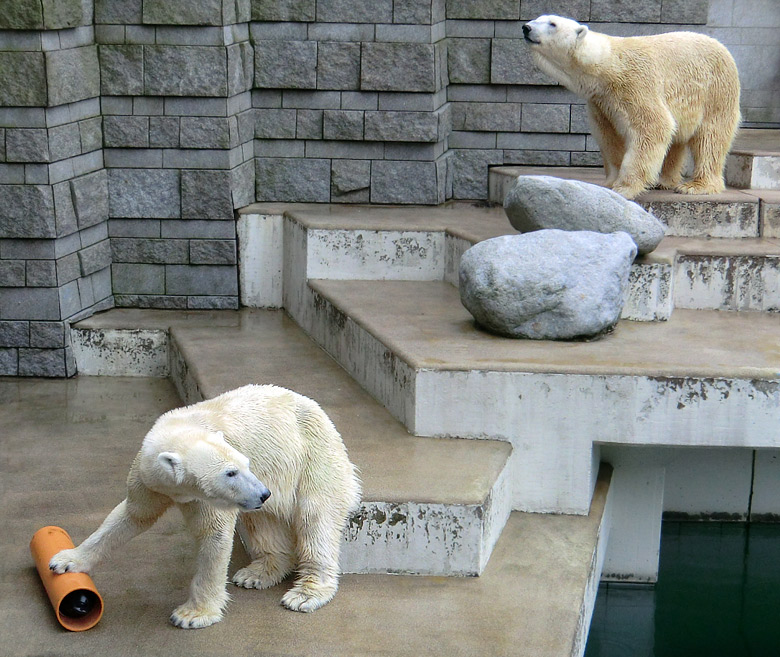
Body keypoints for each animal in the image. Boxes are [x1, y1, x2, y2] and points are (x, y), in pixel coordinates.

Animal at [50, 382, 362, 628]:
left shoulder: (208, 495)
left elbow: (213, 535)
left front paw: (192, 614)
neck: (182, 427)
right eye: (231, 472)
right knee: (261, 521)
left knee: (315, 518)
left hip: (314, 456)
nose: (264, 493)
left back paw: (306, 592)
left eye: (244, 465)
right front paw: (65, 560)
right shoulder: (148, 478)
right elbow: (132, 515)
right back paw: (257, 573)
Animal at [520, 15, 740, 199]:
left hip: (716, 91)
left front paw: (624, 188)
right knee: (677, 139)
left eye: (552, 24)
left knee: (710, 137)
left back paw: (696, 186)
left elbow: (653, 127)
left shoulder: (634, 85)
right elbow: (608, 137)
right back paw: (664, 181)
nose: (526, 27)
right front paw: (610, 182)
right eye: (539, 18)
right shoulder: (601, 102)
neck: (607, 64)